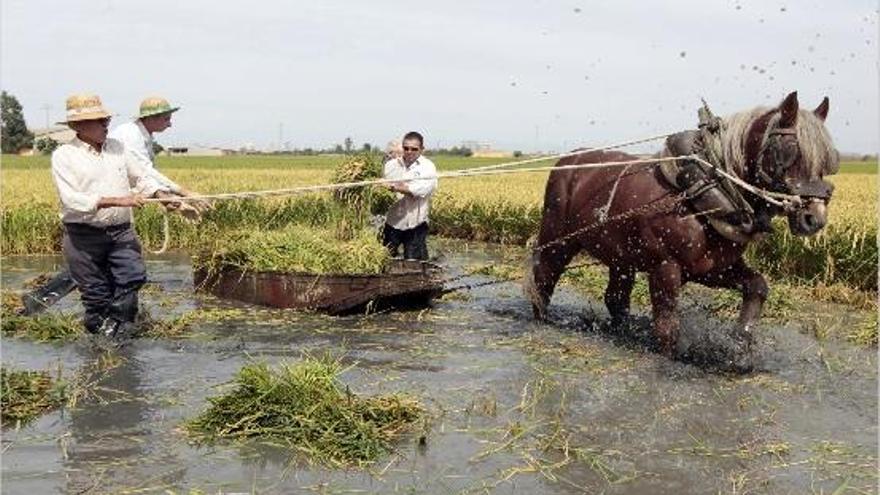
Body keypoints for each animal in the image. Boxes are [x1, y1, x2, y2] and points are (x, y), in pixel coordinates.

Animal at [524, 92, 840, 372]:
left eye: (828, 160)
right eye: (790, 151)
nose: (814, 218)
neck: (703, 192)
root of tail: (567, 160)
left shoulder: (713, 268)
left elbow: (757, 286)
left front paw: (739, 348)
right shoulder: (665, 268)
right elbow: (668, 329)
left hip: (621, 257)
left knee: (615, 298)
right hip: (557, 238)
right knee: (544, 279)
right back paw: (540, 319)